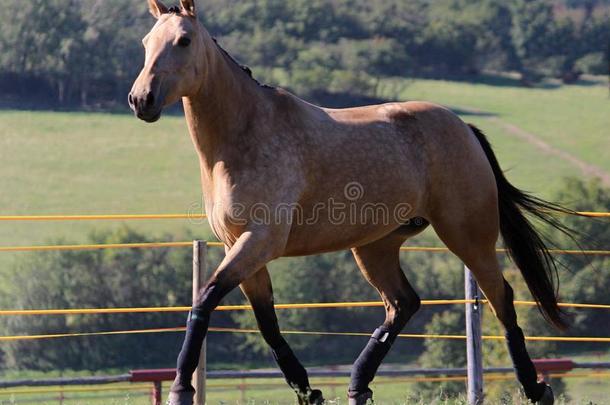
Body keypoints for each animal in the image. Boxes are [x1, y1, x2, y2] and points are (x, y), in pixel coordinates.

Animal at [126, 1, 568, 402]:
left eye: (183, 41)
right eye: (146, 42)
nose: (140, 99)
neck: (242, 137)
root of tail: (464, 128)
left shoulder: (259, 240)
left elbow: (205, 299)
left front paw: (181, 389)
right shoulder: (239, 245)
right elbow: (267, 323)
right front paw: (308, 391)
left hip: (467, 236)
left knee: (500, 298)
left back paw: (535, 389)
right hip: (376, 245)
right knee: (403, 304)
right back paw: (358, 384)